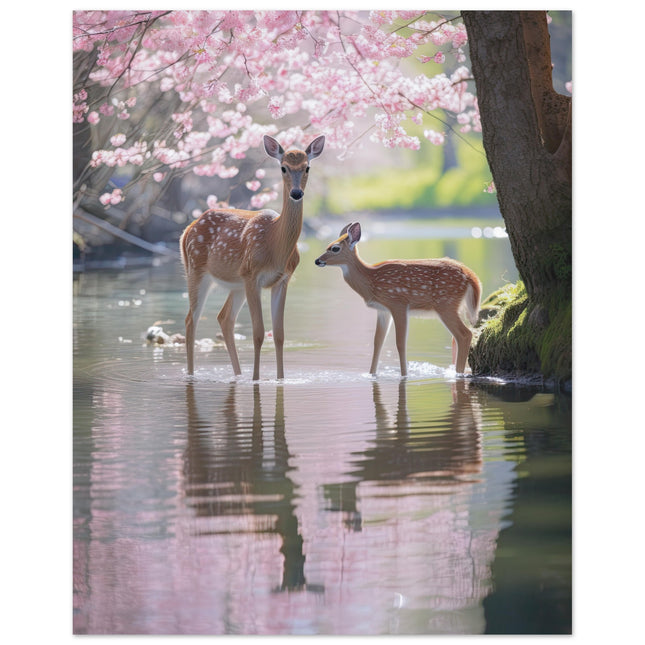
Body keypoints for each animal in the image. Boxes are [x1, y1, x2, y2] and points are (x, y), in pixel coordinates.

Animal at [180, 134, 325, 380]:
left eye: (307, 167)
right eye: (283, 167)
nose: (296, 193)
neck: (274, 242)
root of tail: (187, 229)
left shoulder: (282, 280)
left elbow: (279, 334)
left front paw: (280, 379)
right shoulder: (252, 275)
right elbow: (258, 333)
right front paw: (256, 379)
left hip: (236, 284)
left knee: (224, 318)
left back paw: (238, 375)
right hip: (196, 270)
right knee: (191, 319)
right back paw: (192, 375)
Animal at [314, 222, 482, 377]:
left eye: (335, 248)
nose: (317, 261)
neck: (371, 280)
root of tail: (470, 275)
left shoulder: (398, 303)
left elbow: (400, 343)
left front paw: (404, 375)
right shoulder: (383, 310)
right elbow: (377, 342)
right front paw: (371, 374)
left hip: (445, 304)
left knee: (464, 334)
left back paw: (458, 373)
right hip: (452, 306)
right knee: (456, 337)